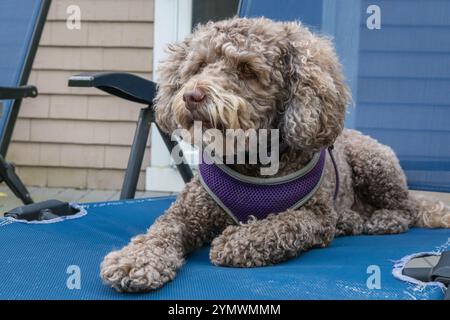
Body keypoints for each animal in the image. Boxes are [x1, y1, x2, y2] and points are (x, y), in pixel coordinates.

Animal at [99, 17, 450, 292]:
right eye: (198, 66)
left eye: (246, 69)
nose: (192, 95)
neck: (252, 160)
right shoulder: (186, 213)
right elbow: (160, 231)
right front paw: (134, 260)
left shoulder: (314, 217)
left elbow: (280, 225)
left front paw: (237, 242)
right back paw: (351, 220)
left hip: (374, 161)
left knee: (406, 210)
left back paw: (381, 220)